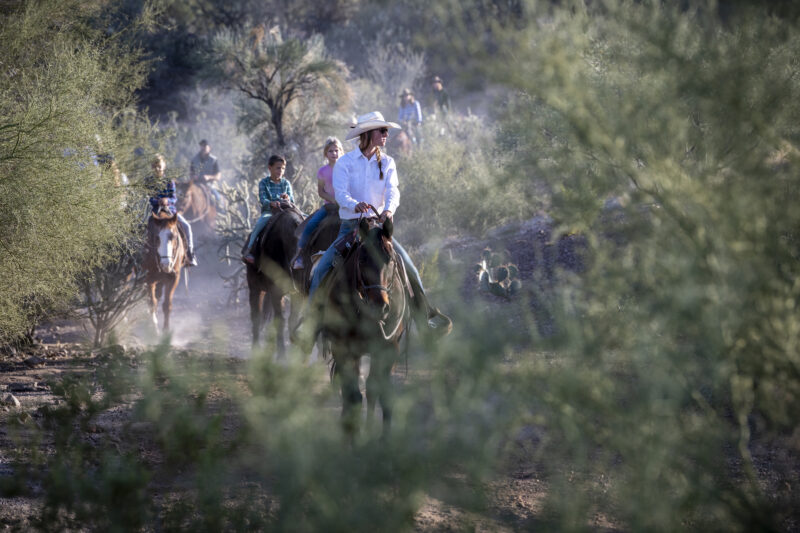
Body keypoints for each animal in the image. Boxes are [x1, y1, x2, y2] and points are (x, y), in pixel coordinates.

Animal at [316, 216, 410, 436]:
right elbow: (353, 396)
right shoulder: (344, 349)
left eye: (390, 260)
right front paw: (353, 436)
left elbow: (379, 392)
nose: (380, 306)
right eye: (362, 260)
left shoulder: (388, 349)